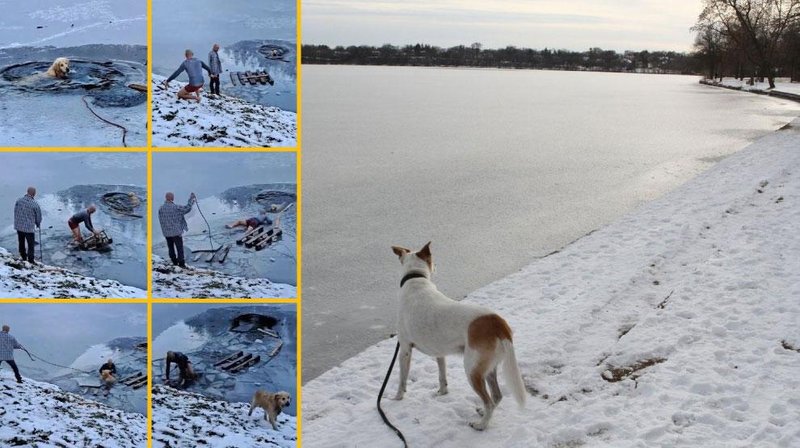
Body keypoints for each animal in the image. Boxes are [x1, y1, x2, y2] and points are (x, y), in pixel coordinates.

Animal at [390, 242, 524, 430]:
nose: (437, 265)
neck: (415, 278)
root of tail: (496, 321)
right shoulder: (439, 353)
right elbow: (442, 375)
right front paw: (442, 392)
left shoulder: (404, 350)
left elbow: (402, 379)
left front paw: (397, 398)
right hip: (488, 368)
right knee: (497, 396)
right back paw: (482, 413)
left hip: (472, 370)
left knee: (489, 401)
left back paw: (481, 425)